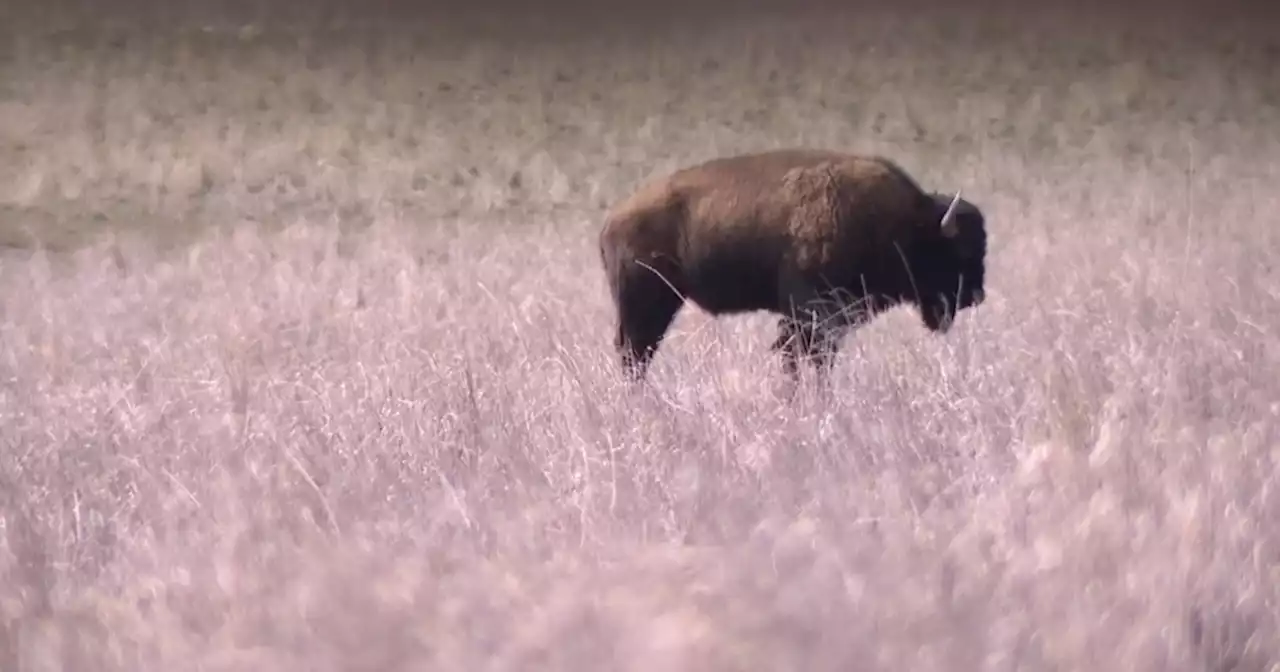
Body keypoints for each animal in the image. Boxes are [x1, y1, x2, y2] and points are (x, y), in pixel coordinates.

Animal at [599, 149, 988, 384]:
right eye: (960, 252)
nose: (976, 296)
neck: (905, 223)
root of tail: (612, 221)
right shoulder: (812, 313)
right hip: (648, 307)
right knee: (635, 355)